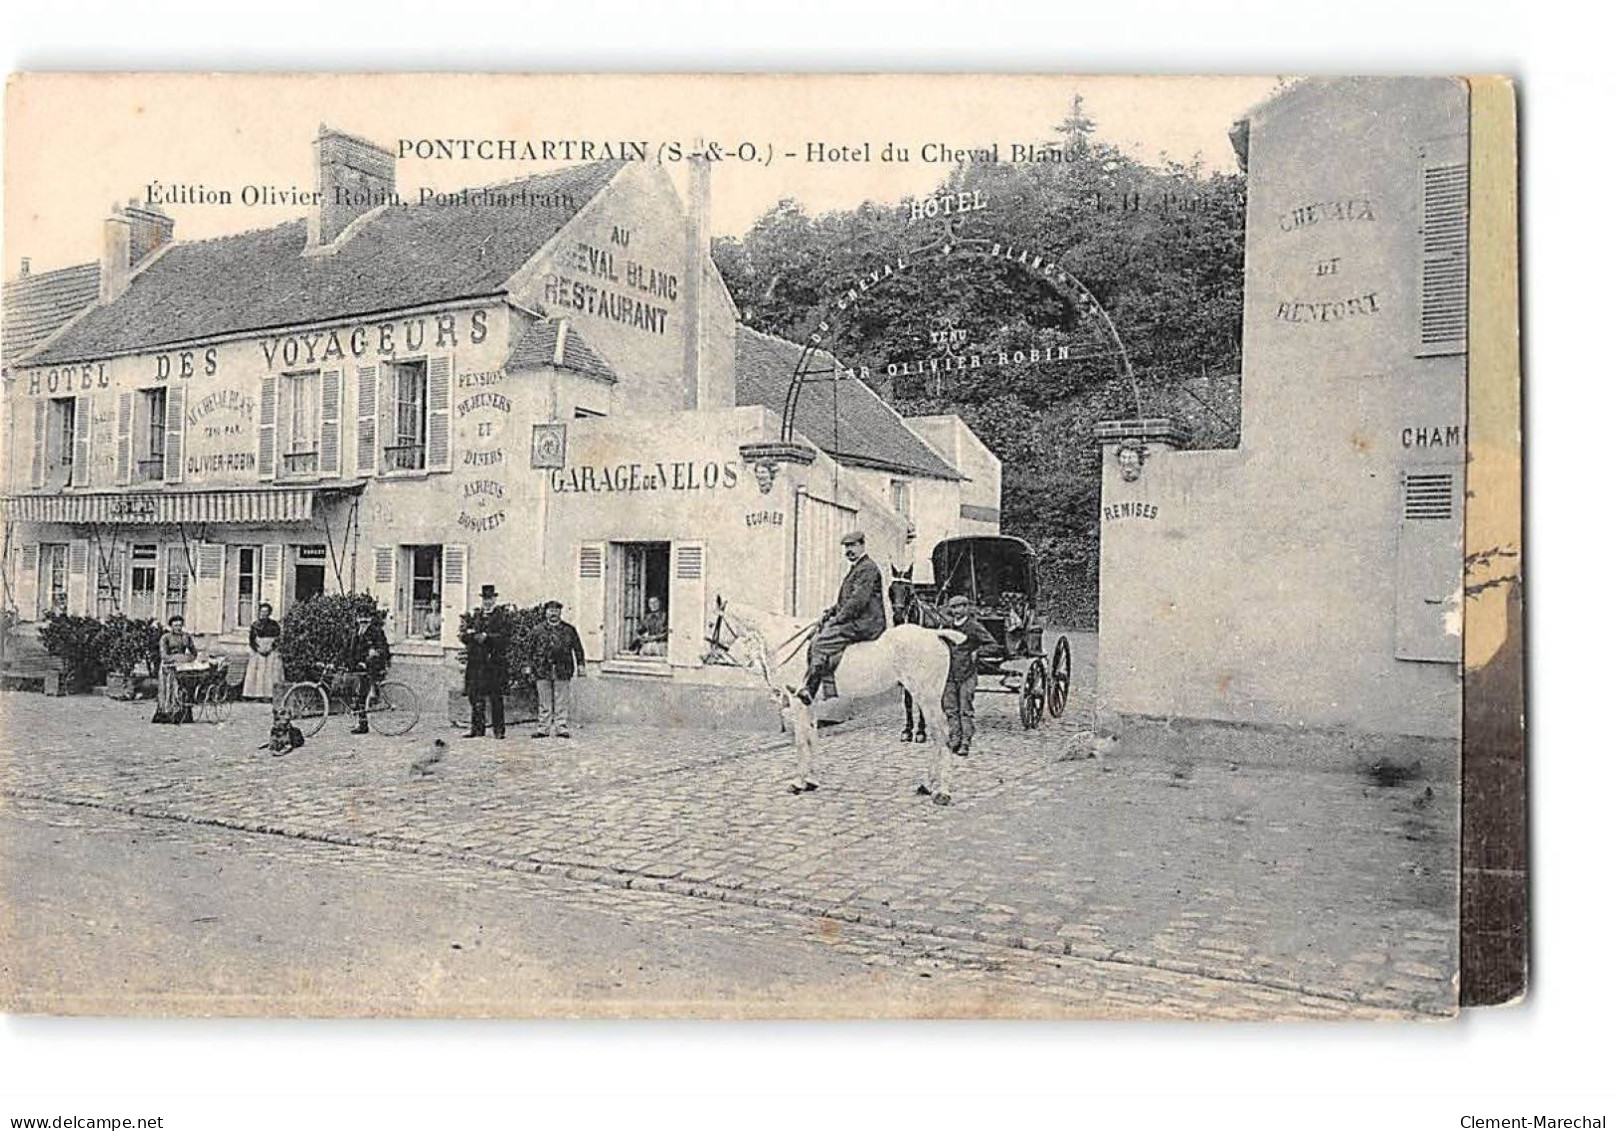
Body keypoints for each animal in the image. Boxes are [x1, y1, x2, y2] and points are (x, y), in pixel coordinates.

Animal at [704, 601, 963, 804]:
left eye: (709, 623)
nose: (704, 656)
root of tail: (935, 634)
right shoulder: (809, 703)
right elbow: (812, 737)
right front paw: (811, 780)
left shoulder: (798, 701)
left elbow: (801, 741)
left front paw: (797, 782)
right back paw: (928, 786)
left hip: (926, 697)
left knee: (942, 735)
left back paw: (941, 792)